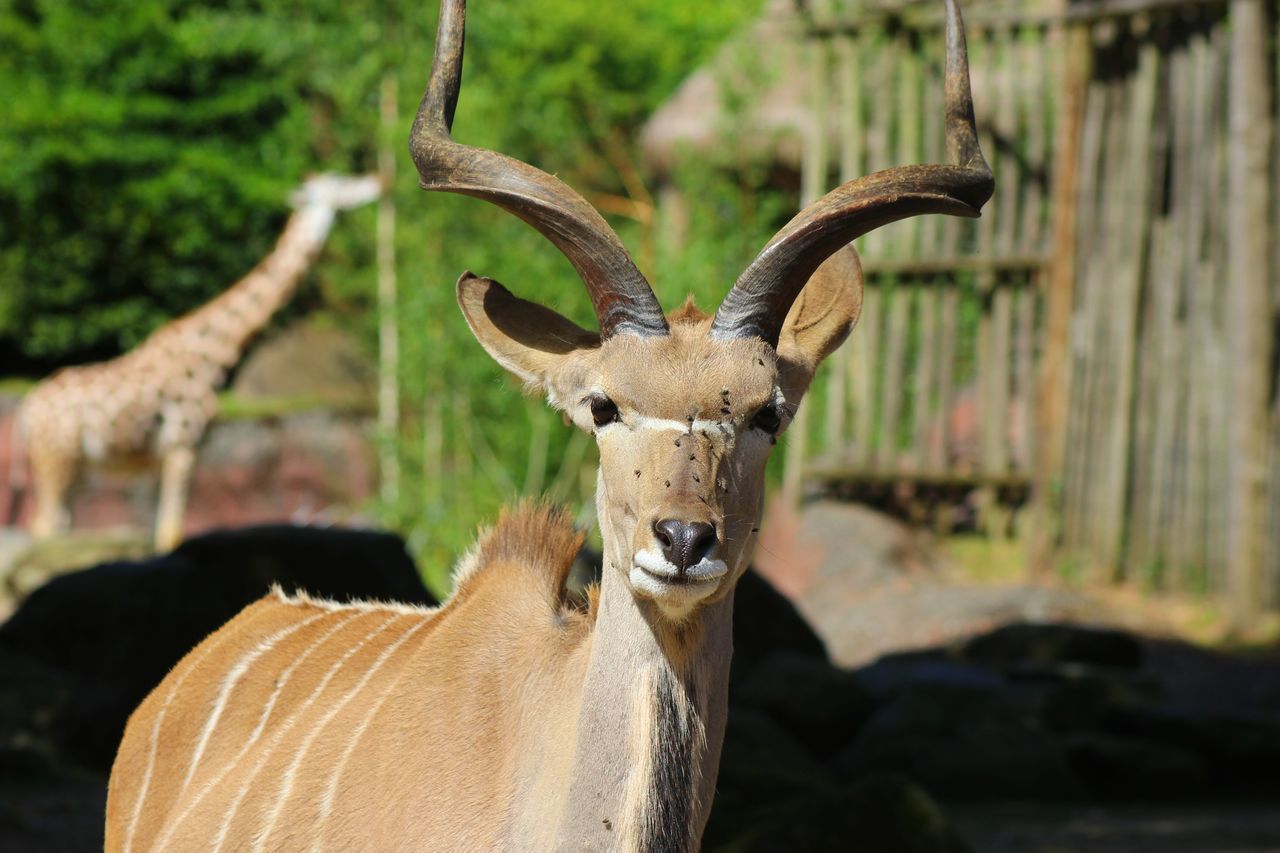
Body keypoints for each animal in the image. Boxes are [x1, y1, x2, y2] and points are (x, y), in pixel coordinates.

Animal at [15, 172, 381, 550]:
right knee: (45, 526)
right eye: (338, 184)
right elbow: (172, 532)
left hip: (76, 467)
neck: (212, 351)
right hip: (57, 459)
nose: (377, 181)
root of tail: (27, 412)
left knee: (58, 527)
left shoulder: (170, 455)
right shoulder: (184, 444)